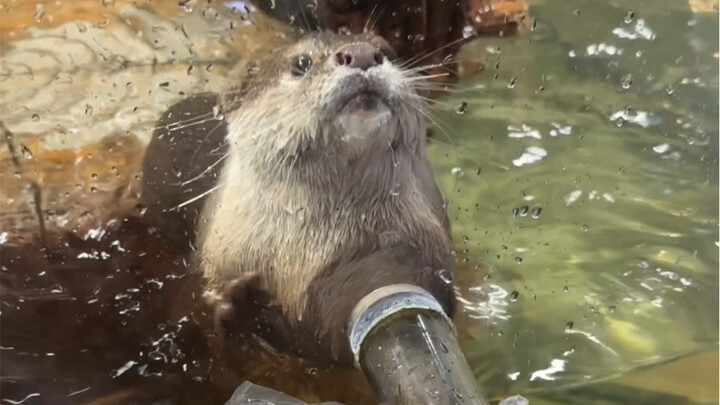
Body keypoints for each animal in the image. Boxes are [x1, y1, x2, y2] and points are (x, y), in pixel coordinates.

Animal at [141, 32, 456, 366]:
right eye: (302, 63)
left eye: (387, 51)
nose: (360, 53)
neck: (300, 260)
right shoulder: (211, 261)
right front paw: (238, 307)